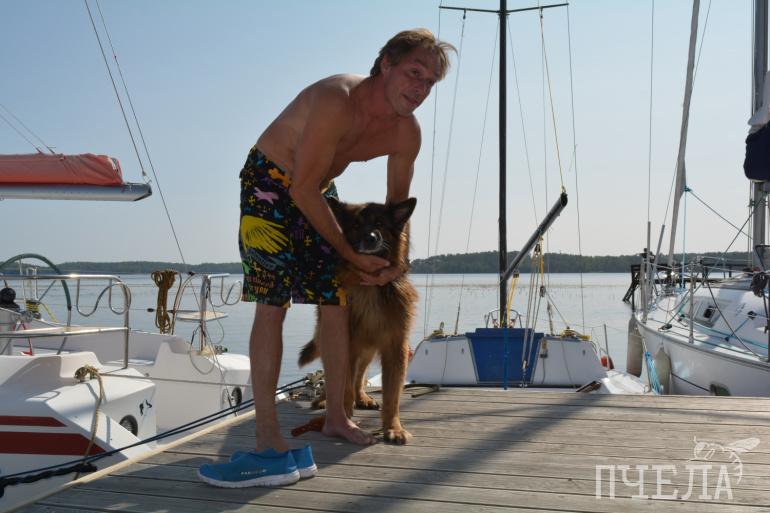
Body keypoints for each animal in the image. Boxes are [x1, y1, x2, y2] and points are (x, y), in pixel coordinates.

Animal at [298, 196, 418, 444]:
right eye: (355, 225)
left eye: (380, 223)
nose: (370, 238)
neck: (369, 286)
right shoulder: (347, 344)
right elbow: (343, 387)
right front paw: (345, 419)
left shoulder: (395, 347)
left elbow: (392, 394)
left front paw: (393, 427)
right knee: (333, 377)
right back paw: (325, 400)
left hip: (368, 349)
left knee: (360, 375)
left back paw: (362, 397)